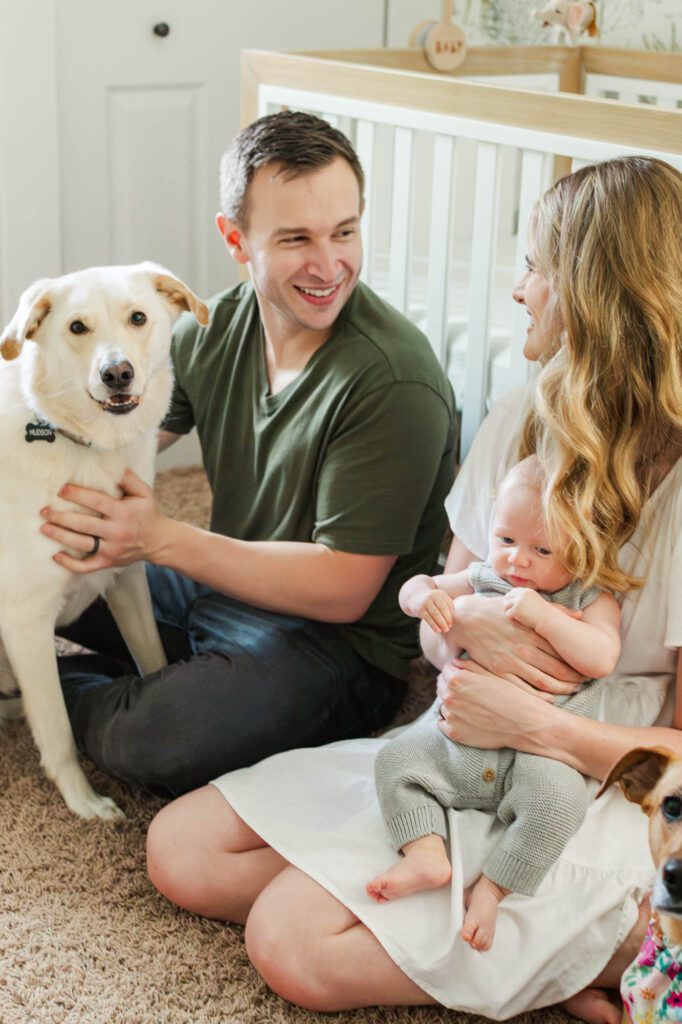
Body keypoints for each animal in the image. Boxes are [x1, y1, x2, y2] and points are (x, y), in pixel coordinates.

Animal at [0, 262, 206, 815]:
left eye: (138, 318)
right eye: (77, 327)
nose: (117, 373)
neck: (85, 447)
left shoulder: (127, 577)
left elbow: (153, 662)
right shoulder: (26, 621)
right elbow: (57, 729)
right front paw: (84, 802)